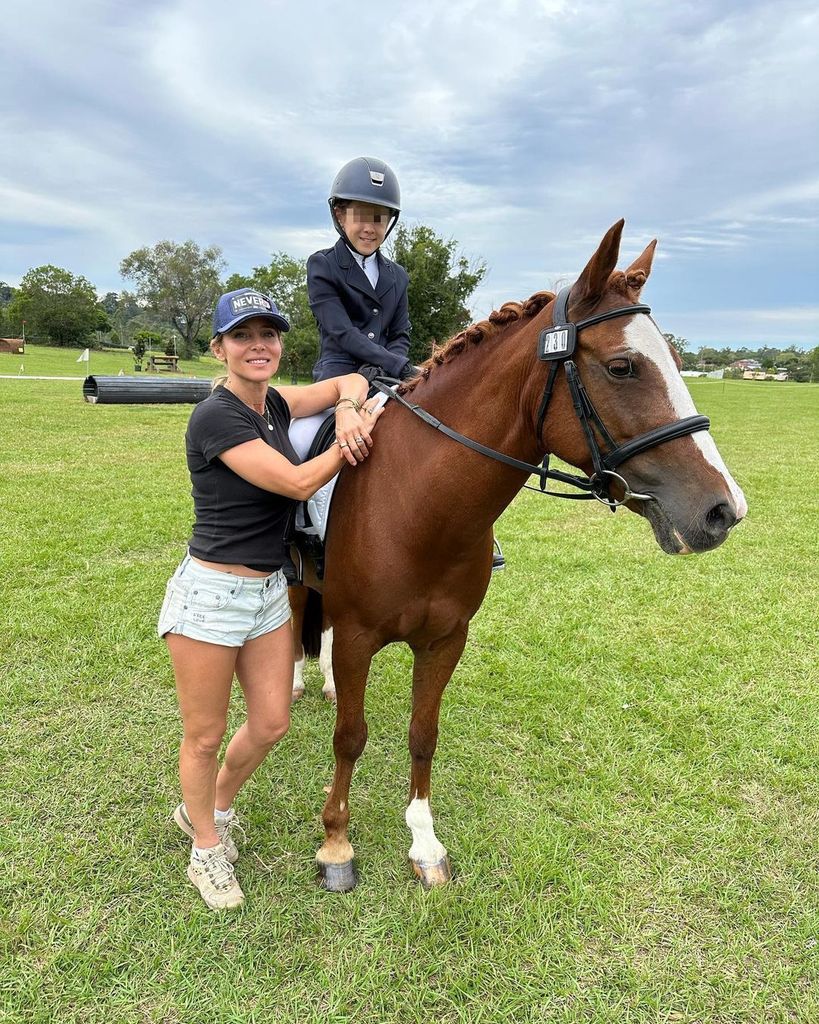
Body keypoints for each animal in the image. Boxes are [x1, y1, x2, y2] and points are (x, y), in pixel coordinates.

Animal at [296, 222, 745, 888]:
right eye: (622, 366)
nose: (724, 510)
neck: (419, 508)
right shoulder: (358, 635)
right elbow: (350, 737)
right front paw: (337, 845)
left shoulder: (445, 638)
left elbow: (423, 734)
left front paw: (425, 845)